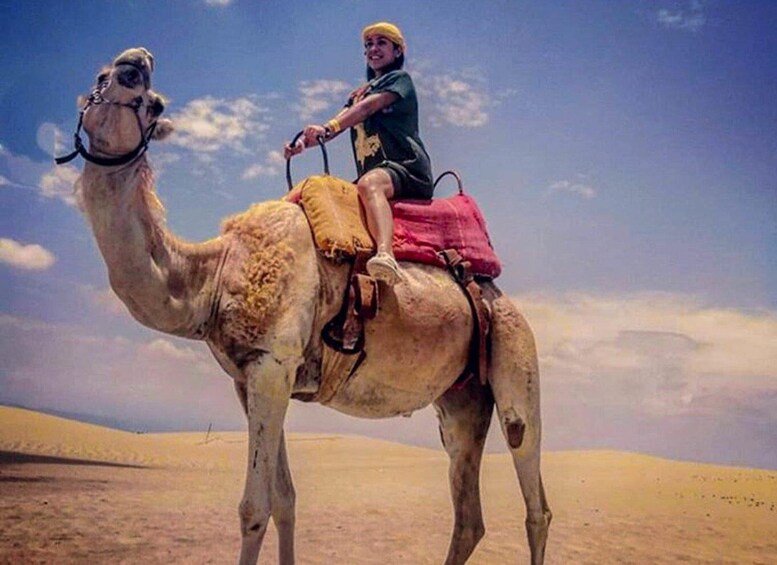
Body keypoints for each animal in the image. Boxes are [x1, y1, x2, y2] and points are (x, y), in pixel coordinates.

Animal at [66, 47, 551, 564]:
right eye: (107, 75)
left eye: (145, 92)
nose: (138, 57)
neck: (216, 274)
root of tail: (500, 296)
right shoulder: (252, 376)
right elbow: (284, 499)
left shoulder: (273, 364)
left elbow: (253, 508)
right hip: (461, 399)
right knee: (468, 513)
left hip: (514, 351)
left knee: (533, 491)